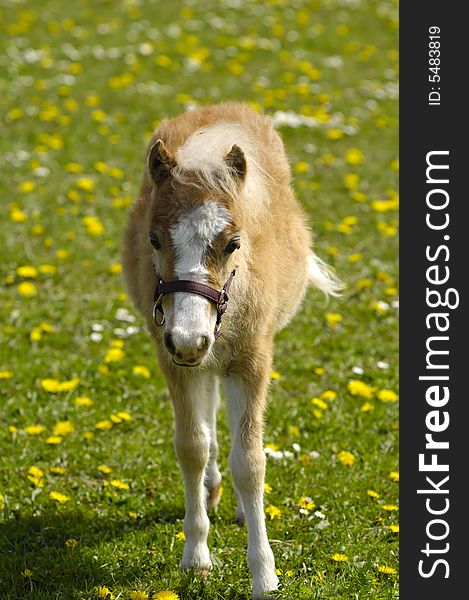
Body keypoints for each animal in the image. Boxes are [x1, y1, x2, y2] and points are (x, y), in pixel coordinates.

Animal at [122, 102, 338, 596]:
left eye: (232, 243)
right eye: (153, 239)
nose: (189, 339)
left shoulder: (251, 361)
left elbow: (251, 462)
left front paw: (264, 575)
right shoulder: (174, 360)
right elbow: (191, 446)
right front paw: (197, 556)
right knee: (207, 416)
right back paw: (212, 489)